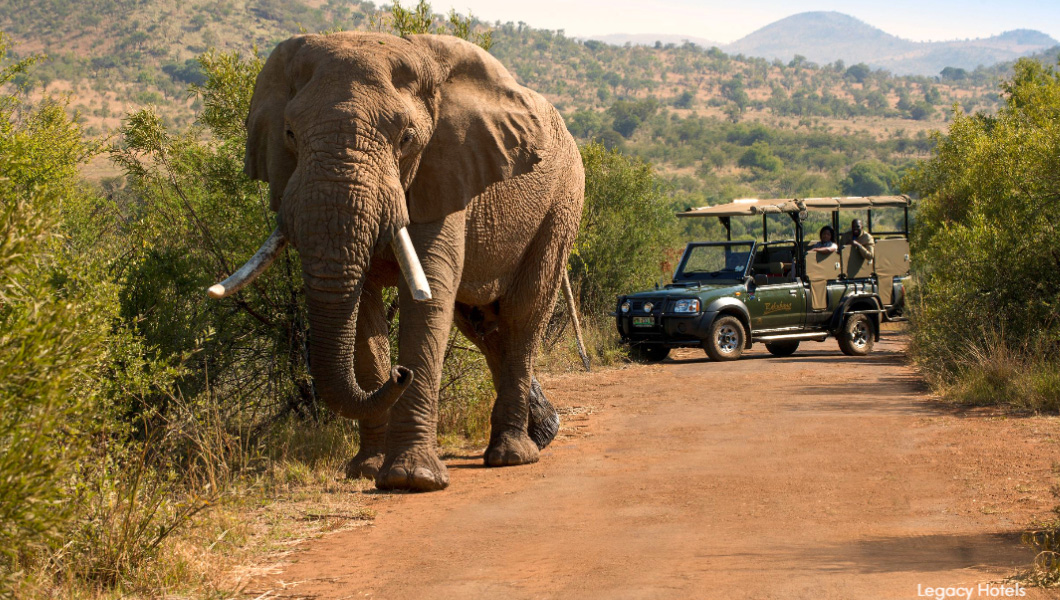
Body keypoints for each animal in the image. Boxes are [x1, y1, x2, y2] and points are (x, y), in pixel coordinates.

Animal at [206, 31, 589, 493]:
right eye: (290, 134)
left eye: (406, 139)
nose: (399, 374)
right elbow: (363, 310)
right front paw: (368, 470)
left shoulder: (445, 171)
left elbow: (429, 295)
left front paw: (412, 479)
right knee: (482, 323)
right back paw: (542, 433)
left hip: (563, 201)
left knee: (522, 313)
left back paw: (513, 455)